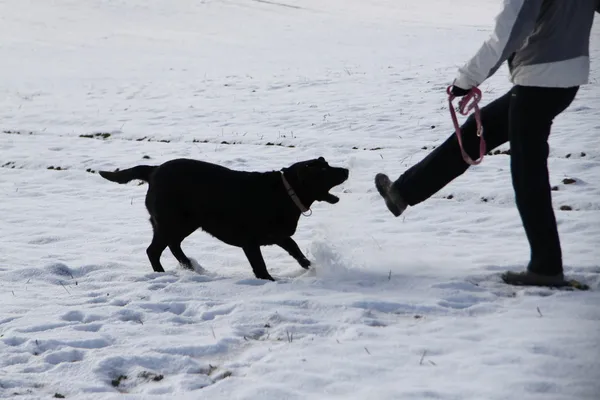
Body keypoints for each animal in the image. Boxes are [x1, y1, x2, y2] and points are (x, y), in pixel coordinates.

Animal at [99, 157, 350, 282]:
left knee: (172, 246)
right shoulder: (250, 242)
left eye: (328, 165)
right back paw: (164, 274)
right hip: (171, 222)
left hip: (185, 223)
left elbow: (297, 252)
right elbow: (260, 266)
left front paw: (313, 268)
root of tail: (153, 170)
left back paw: (190, 267)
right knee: (154, 250)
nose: (346, 170)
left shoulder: (280, 236)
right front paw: (269, 281)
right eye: (324, 171)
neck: (285, 192)